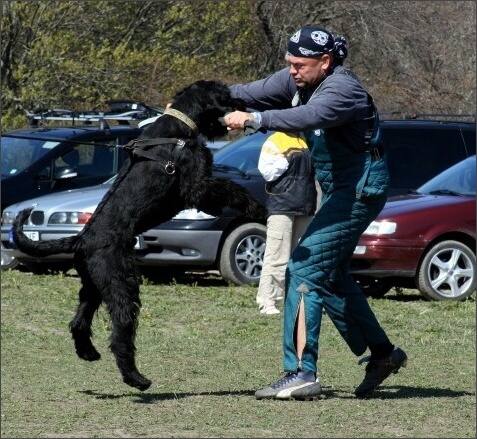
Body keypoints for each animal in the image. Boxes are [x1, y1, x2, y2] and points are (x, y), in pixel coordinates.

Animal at [11, 80, 266, 392]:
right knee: (120, 331)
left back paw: (89, 353)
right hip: (121, 284)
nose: (243, 107)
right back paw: (136, 378)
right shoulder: (196, 186)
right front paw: (256, 206)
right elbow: (229, 188)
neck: (179, 126)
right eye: (226, 96)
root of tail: (81, 239)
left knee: (79, 322)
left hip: (94, 286)